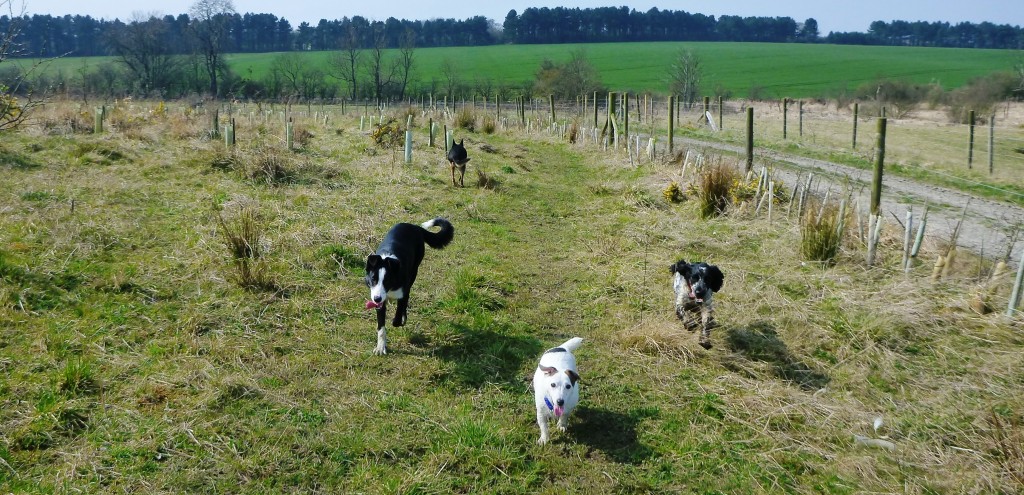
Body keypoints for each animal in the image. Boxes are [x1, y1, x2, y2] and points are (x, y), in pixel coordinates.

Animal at [364, 219, 452, 354]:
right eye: (373, 279)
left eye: (387, 281)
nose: (377, 299)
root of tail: (414, 226)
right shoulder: (379, 301)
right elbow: (381, 327)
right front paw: (380, 347)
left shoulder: (402, 293)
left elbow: (397, 317)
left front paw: (399, 320)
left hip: (414, 270)